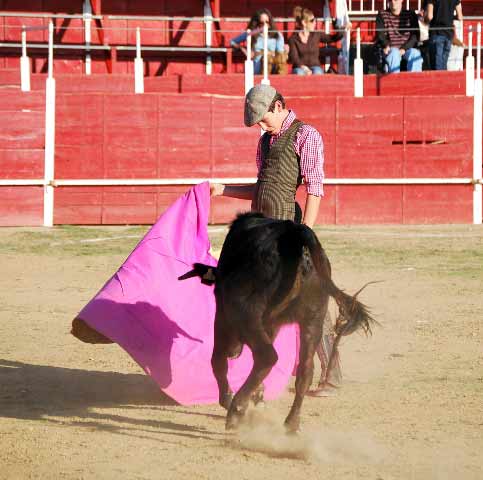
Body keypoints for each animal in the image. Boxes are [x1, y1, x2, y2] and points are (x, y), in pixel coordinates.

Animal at [180, 213, 376, 432]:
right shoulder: (271, 324)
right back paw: (291, 423)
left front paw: (228, 398)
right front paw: (257, 394)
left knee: (267, 356)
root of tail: (296, 234)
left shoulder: (224, 316)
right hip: (313, 317)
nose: (234, 352)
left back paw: (236, 409)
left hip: (247, 312)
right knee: (305, 370)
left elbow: (217, 360)